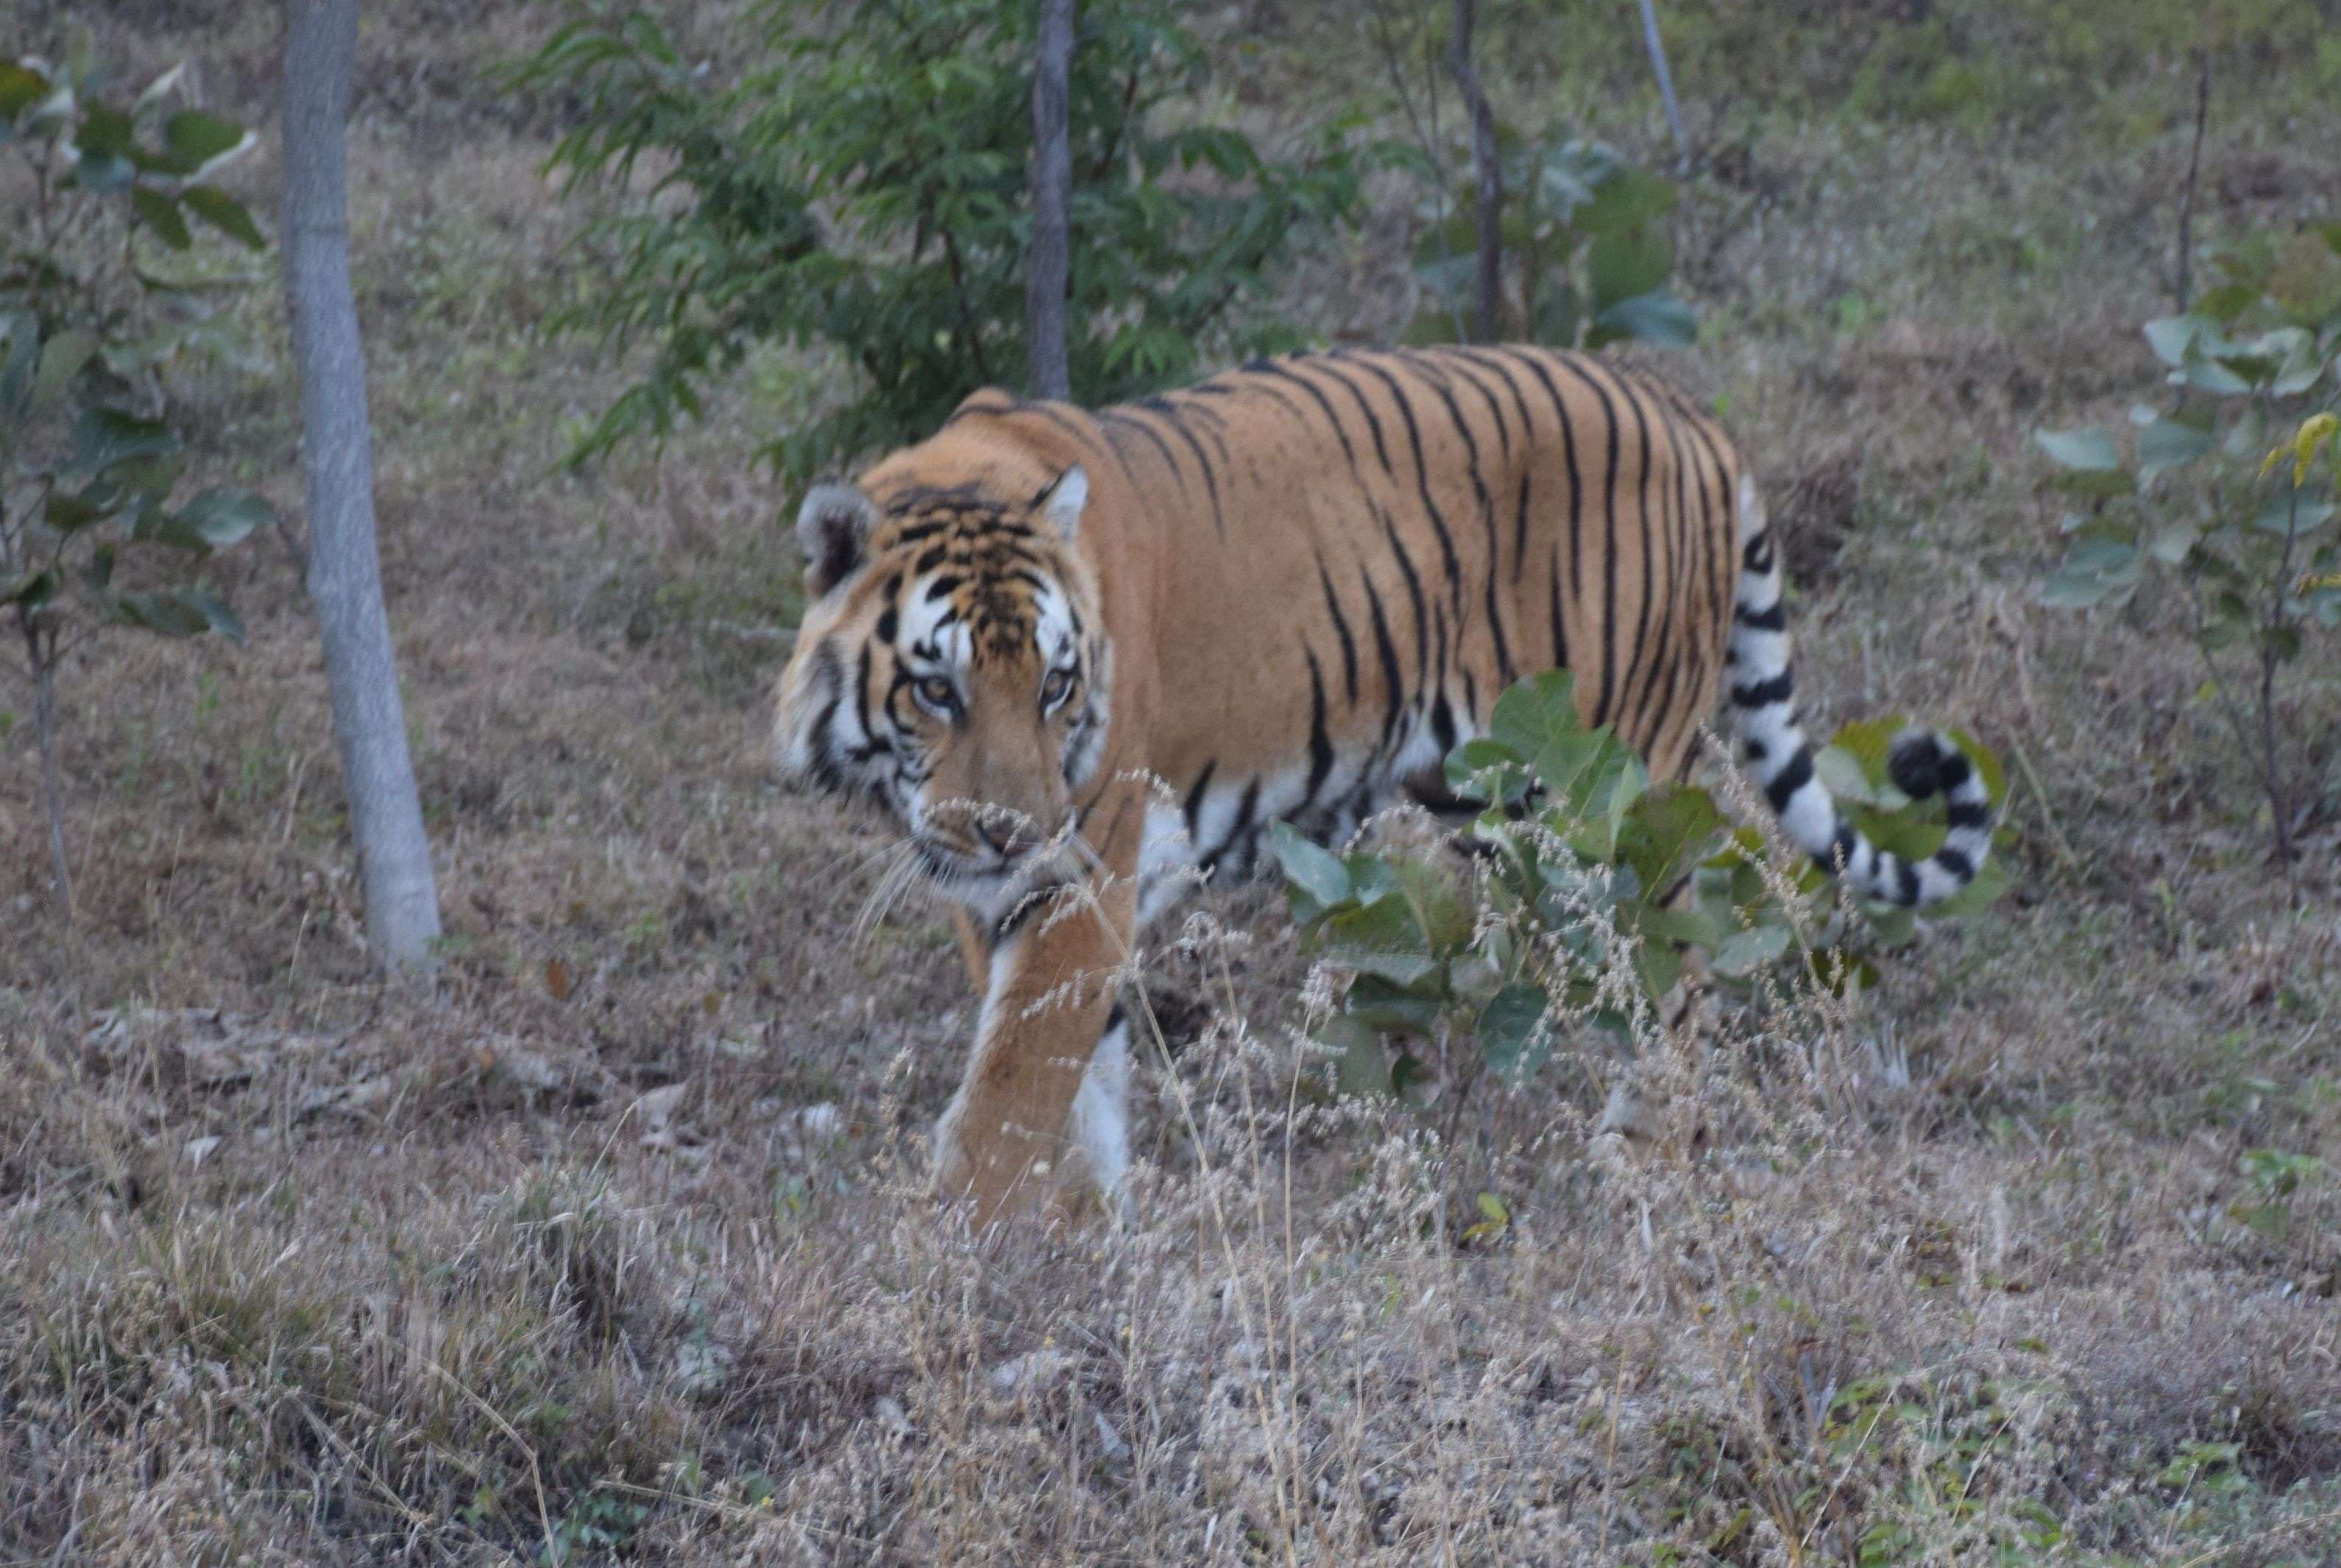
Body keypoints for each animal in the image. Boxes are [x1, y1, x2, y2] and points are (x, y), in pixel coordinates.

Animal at [772, 344, 1994, 1226]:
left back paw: (1643, 1153)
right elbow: (1074, 1070)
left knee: (1674, 957)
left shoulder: (1082, 863)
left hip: (1608, 795)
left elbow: (1017, 1079)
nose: (1008, 829)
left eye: (1057, 685)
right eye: (939, 690)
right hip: (1490, 796)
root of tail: (1688, 413)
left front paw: (962, 1246)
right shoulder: (1009, 891)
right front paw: (1085, 1224)